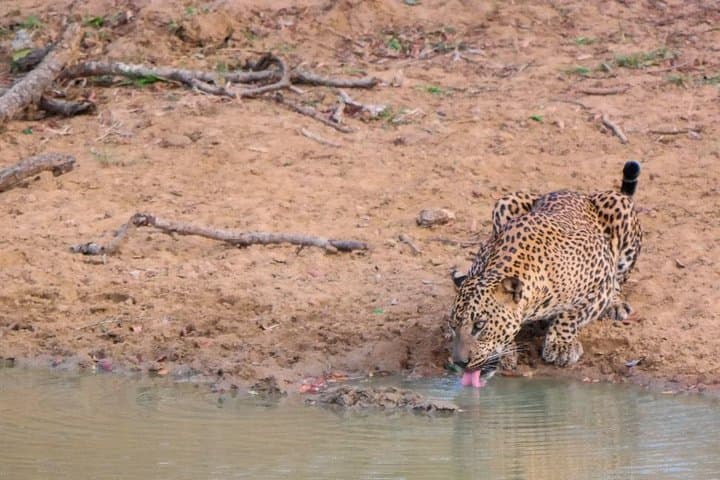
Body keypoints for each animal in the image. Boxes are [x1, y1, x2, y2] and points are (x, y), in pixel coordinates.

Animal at [448, 161, 642, 384]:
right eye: (452, 326)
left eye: (479, 325)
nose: (460, 363)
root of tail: (579, 194)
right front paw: (507, 352)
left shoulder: (601, 281)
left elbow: (572, 314)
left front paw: (560, 346)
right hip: (505, 202)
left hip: (621, 208)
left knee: (620, 279)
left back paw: (616, 305)